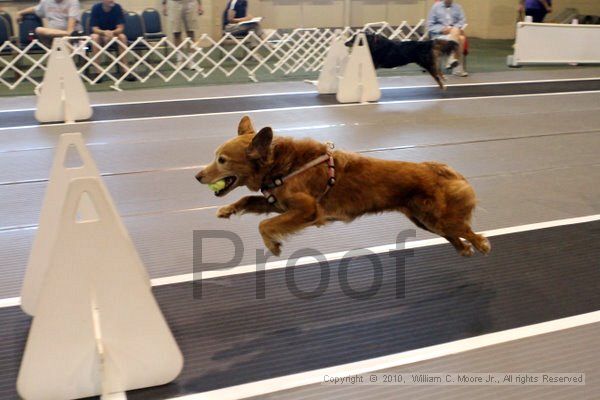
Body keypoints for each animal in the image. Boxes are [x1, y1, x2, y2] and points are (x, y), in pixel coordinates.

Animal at [195, 117, 490, 258]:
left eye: (222, 160)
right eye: (215, 156)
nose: (197, 176)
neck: (281, 166)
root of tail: (440, 169)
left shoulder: (307, 209)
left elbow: (264, 225)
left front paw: (273, 245)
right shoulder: (277, 204)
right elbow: (248, 202)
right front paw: (227, 210)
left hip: (436, 217)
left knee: (465, 229)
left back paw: (481, 244)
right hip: (423, 220)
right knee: (453, 233)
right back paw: (464, 249)